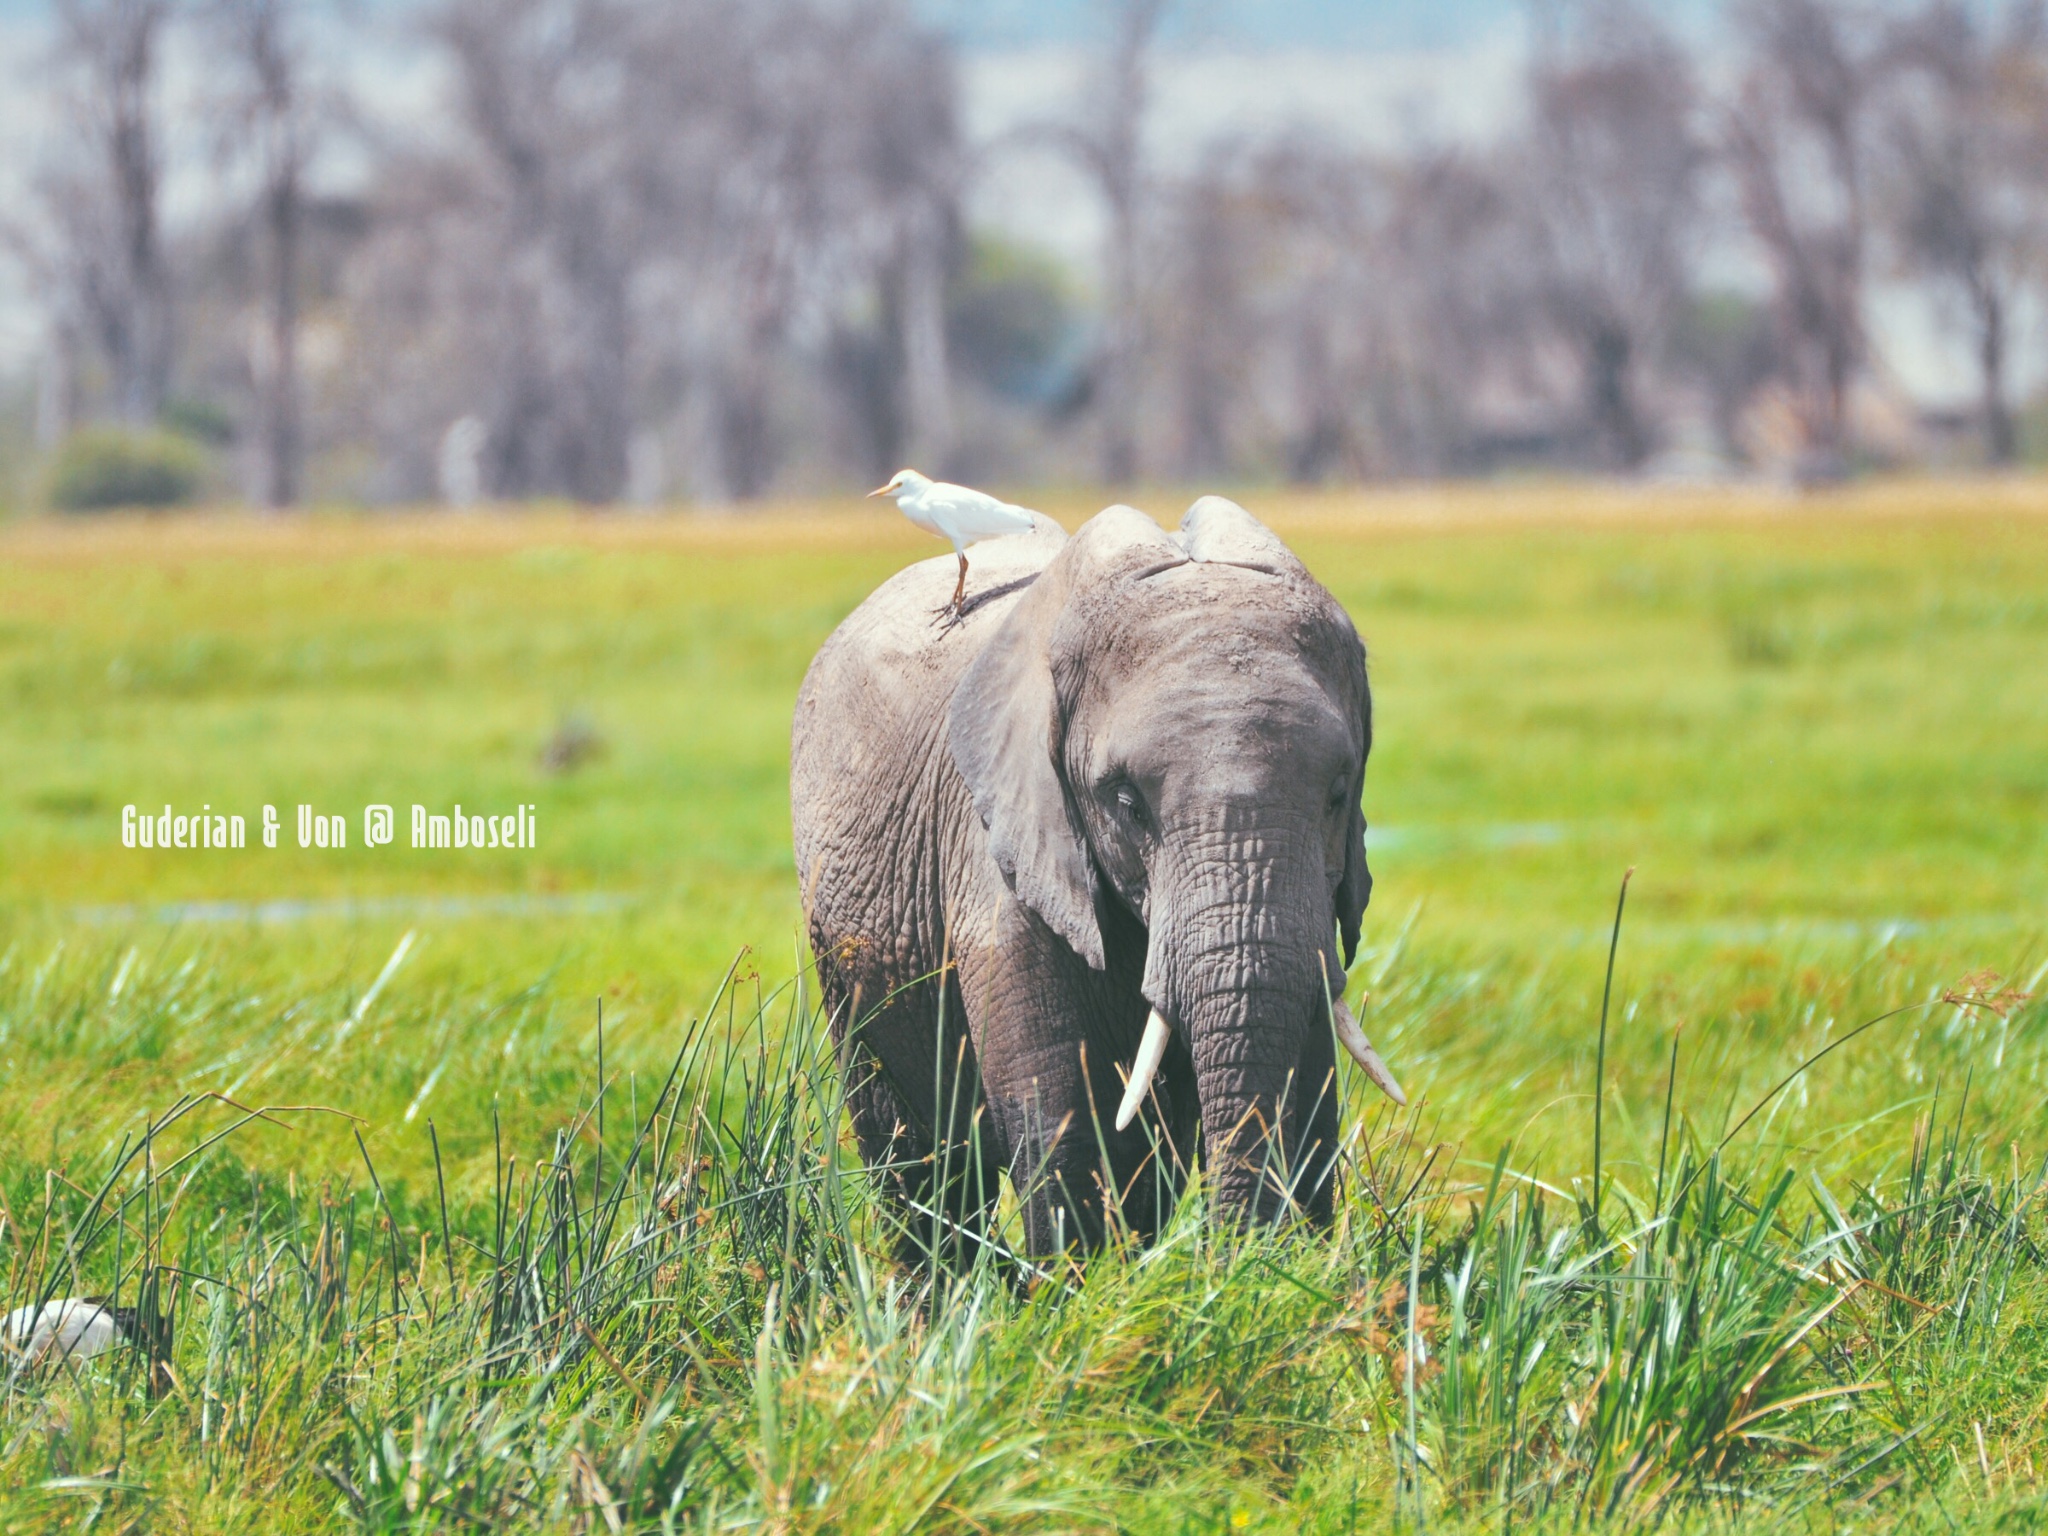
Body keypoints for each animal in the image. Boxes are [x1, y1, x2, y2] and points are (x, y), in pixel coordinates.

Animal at [786, 499, 1409, 1269]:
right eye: (1126, 803)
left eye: (1338, 794)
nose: (1238, 1262)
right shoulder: (1004, 852)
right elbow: (1066, 1116)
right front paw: (1076, 1289)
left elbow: (1309, 1083)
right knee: (915, 1153)